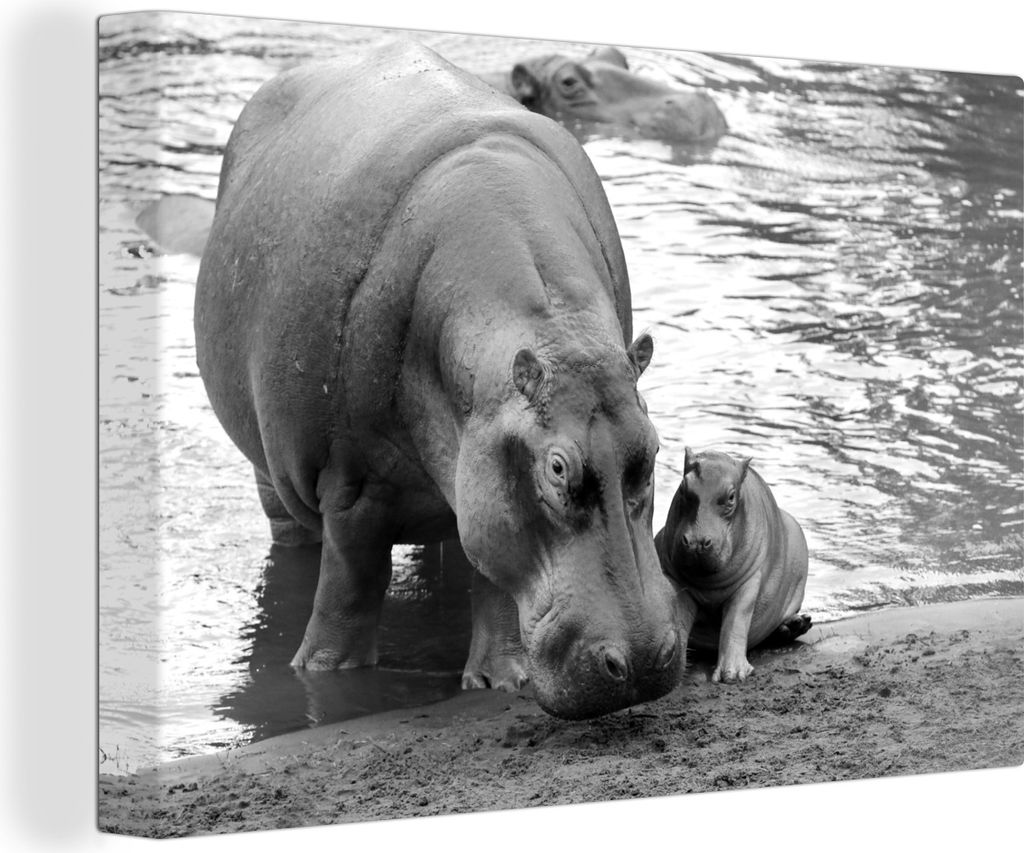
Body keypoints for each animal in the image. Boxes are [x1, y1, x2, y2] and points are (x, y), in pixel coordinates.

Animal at [194, 41, 685, 720]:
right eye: (557, 467)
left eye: (654, 448)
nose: (641, 662)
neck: (553, 330)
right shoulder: (350, 483)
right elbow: (350, 589)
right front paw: (326, 677)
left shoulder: (487, 470)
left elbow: (495, 584)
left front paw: (502, 679)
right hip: (273, 474)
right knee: (294, 537)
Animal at [655, 448, 811, 684]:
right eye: (683, 486)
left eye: (731, 497)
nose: (697, 542)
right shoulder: (677, 580)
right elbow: (679, 614)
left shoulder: (750, 580)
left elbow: (736, 619)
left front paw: (732, 674)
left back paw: (796, 625)